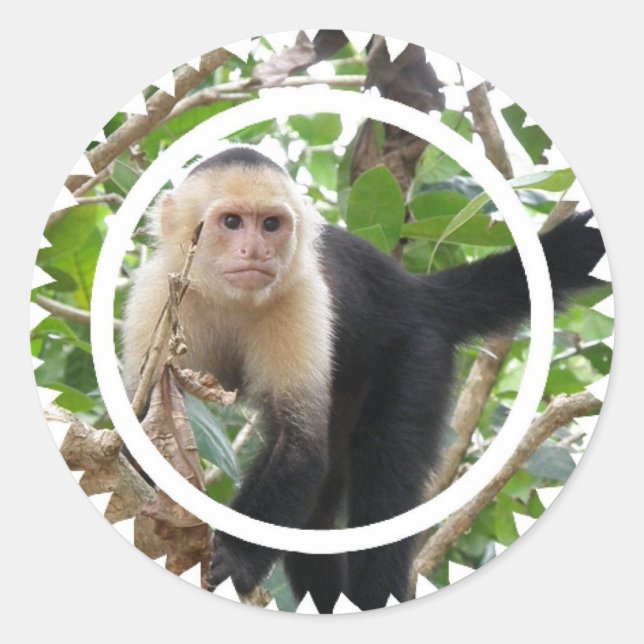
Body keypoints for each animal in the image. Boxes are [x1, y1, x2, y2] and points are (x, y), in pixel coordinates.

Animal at [121, 146, 606, 613]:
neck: (229, 297)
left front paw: (236, 557)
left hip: (416, 348)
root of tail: (415, 290)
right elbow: (143, 416)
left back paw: (377, 595)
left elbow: (299, 449)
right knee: (319, 507)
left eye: (272, 225)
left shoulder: (303, 298)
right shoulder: (158, 295)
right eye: (232, 222)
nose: (257, 252)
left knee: (382, 473)